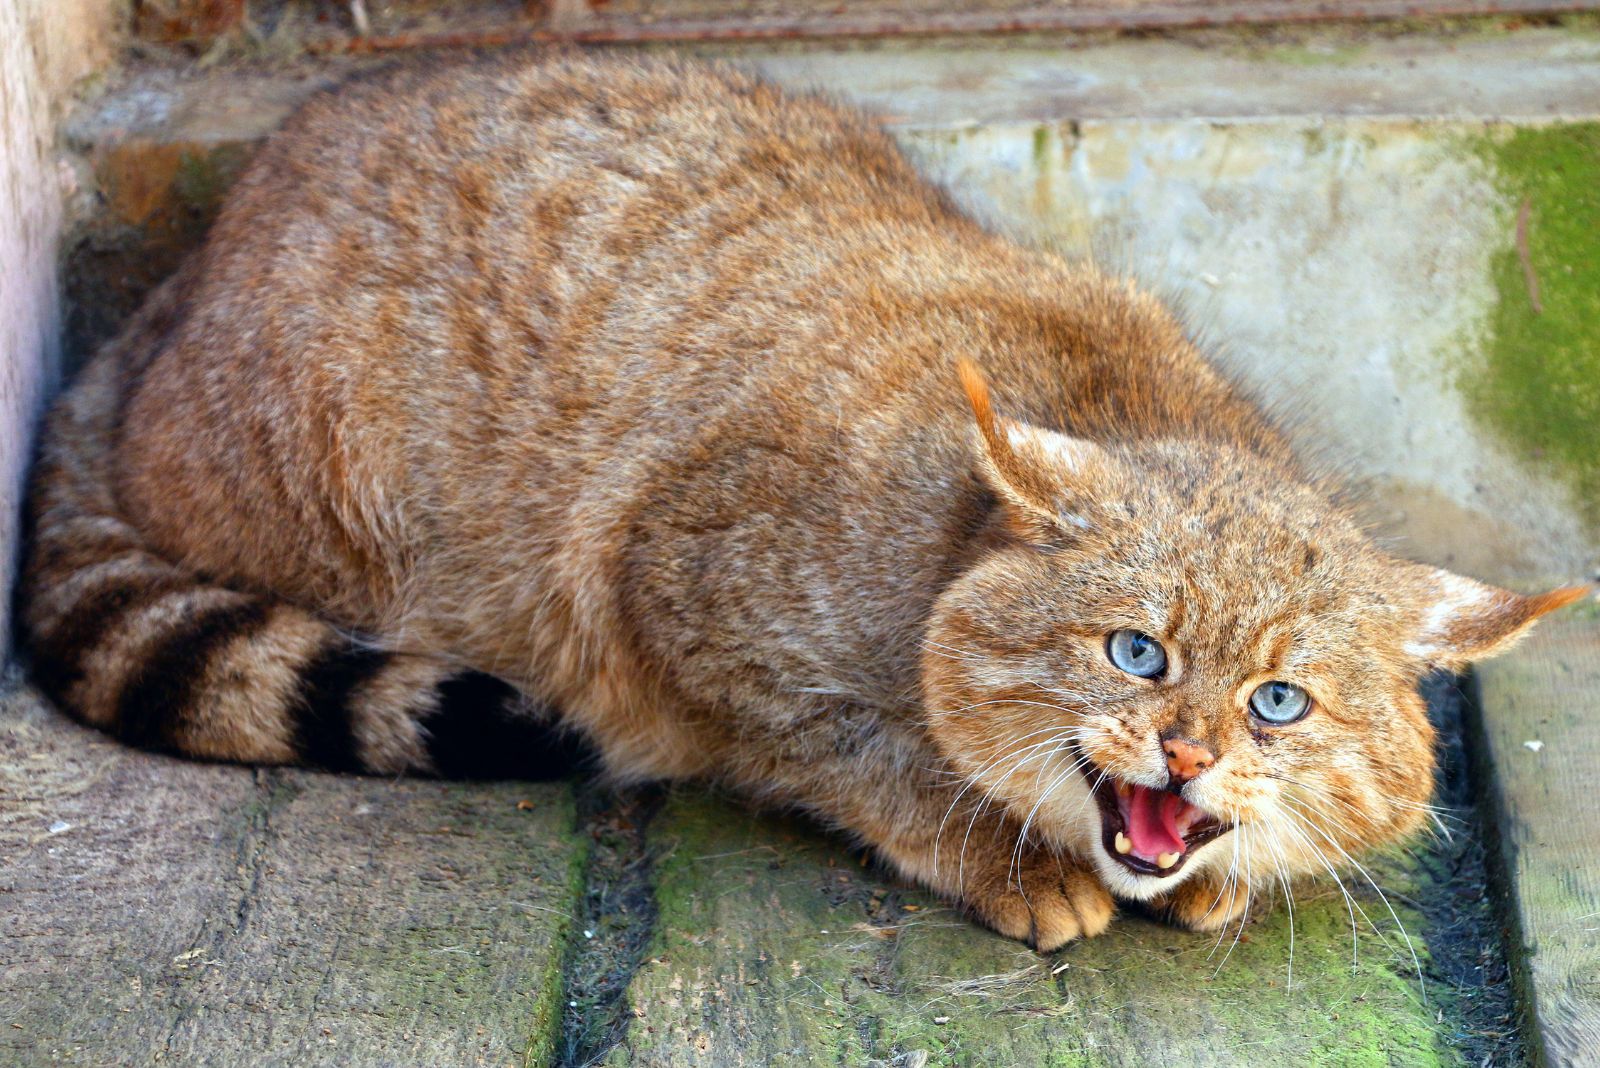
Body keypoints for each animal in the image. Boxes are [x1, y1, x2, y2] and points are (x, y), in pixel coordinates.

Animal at [25, 51, 1587, 952]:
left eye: (1279, 702)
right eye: (1134, 652)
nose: (1185, 755)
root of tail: (180, 282)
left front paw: (1233, 869)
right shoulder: (668, 593)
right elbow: (852, 751)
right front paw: (993, 849)